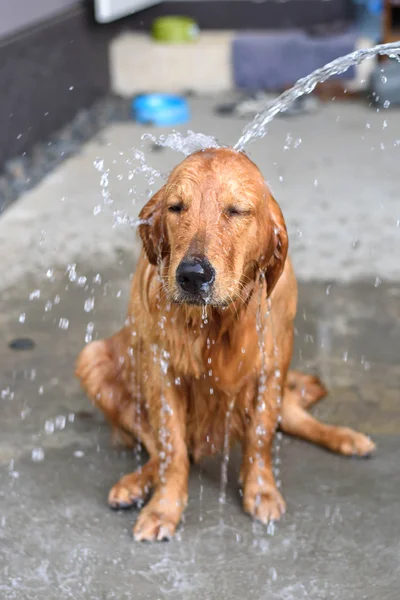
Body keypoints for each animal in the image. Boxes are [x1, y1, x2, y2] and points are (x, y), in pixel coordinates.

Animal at [76, 148, 376, 540]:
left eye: (236, 210)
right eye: (176, 207)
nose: (192, 275)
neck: (218, 321)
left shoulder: (272, 363)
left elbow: (261, 435)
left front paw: (261, 491)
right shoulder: (161, 370)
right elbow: (171, 448)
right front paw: (163, 509)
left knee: (294, 417)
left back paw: (347, 438)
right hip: (92, 357)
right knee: (163, 451)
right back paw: (136, 483)